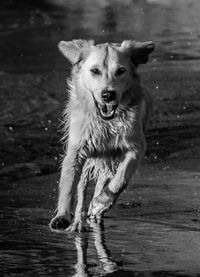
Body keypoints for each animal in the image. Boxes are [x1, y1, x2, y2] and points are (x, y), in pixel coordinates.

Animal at [49, 38, 154, 232]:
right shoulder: (76, 151)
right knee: (82, 190)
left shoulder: (135, 147)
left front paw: (101, 202)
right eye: (95, 71)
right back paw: (79, 222)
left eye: (120, 71)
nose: (107, 94)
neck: (105, 123)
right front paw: (62, 216)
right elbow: (68, 184)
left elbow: (121, 178)